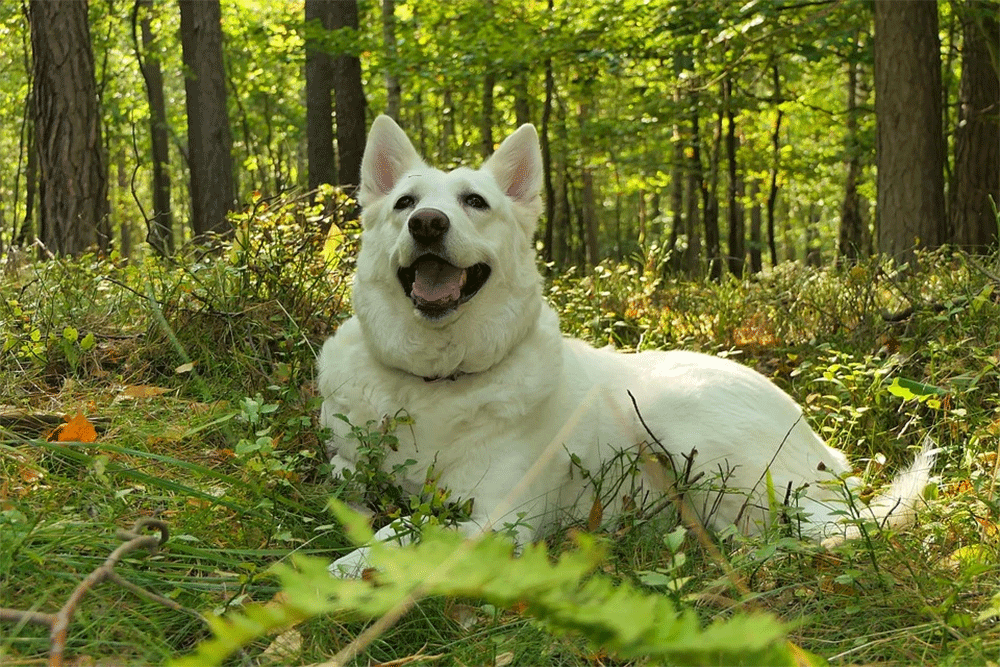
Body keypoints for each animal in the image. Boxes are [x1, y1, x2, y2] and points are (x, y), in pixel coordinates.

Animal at [314, 115, 936, 576]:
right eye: (404, 203)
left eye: (475, 202)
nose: (427, 223)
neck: (434, 380)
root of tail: (817, 442)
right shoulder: (347, 473)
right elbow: (360, 507)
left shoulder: (497, 519)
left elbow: (395, 536)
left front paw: (339, 576)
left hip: (683, 423)